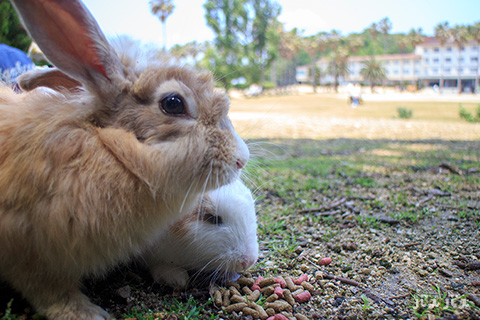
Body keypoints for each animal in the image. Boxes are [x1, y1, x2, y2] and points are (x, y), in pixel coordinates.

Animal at [0, 1, 248, 318]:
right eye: (173, 103)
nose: (242, 158)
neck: (108, 149)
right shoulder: (29, 253)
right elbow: (50, 291)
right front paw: (87, 313)